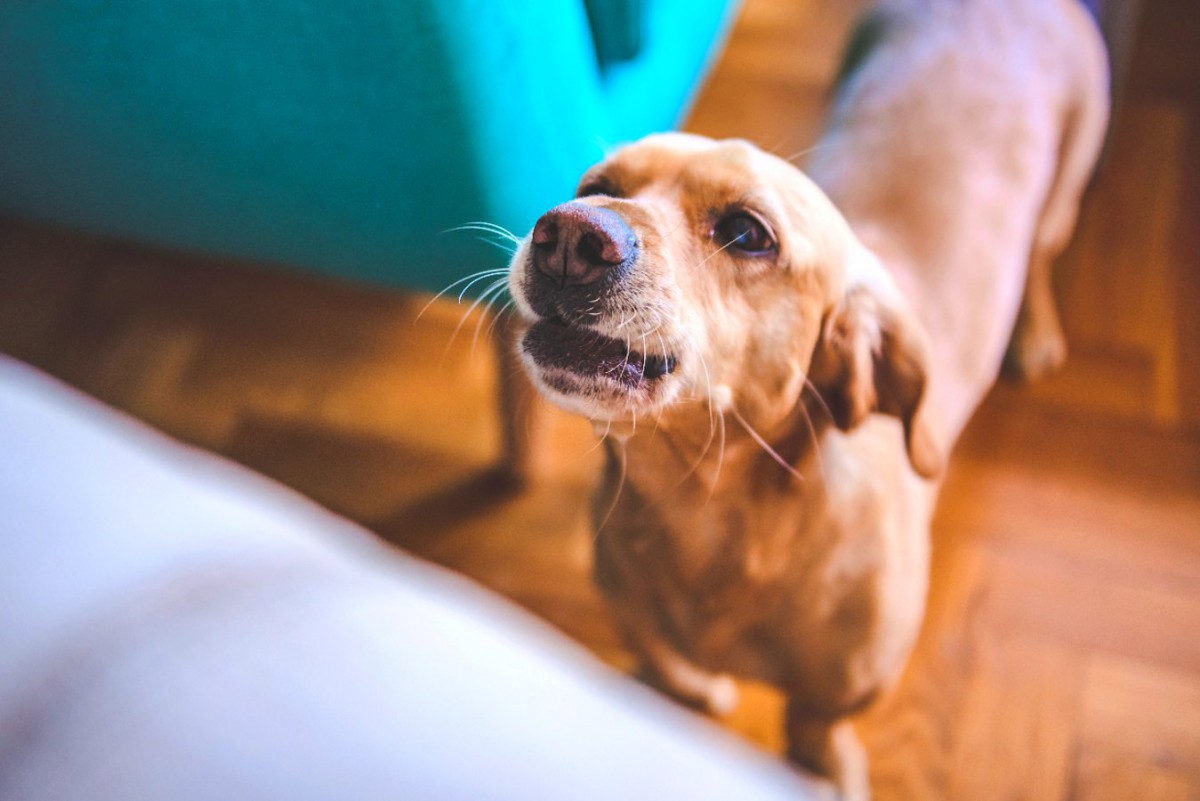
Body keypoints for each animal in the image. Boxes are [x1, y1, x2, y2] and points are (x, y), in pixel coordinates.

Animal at [499, 3, 1104, 796]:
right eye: (596, 182)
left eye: (746, 232)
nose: (569, 234)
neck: (706, 509)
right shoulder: (637, 620)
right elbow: (669, 668)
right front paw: (693, 693)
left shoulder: (838, 696)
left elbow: (817, 734)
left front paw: (828, 769)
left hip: (1066, 188)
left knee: (1040, 253)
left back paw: (1033, 333)